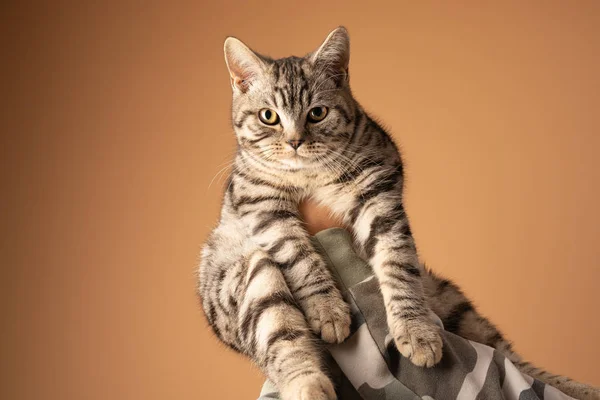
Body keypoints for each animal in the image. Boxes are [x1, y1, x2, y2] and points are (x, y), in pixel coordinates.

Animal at [198, 28, 600, 400]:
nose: (295, 140)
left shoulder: (379, 194)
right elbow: (301, 257)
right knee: (283, 339)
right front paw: (328, 310)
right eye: (269, 117)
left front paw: (416, 331)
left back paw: (576, 387)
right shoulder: (262, 204)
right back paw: (309, 386)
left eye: (317, 113)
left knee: (512, 359)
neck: (311, 175)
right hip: (250, 279)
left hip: (452, 301)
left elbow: (396, 263)